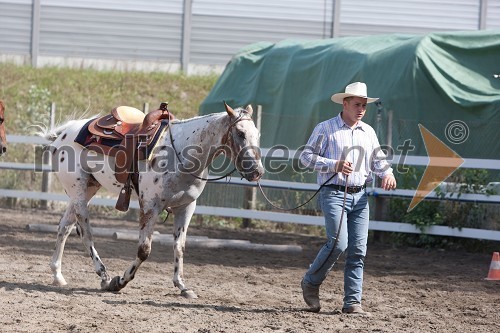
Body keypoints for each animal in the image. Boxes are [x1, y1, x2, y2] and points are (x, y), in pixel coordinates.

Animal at [42, 101, 266, 296]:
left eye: (258, 135)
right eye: (240, 133)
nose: (257, 171)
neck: (180, 153)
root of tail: (64, 132)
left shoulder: (186, 207)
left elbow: (179, 246)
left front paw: (182, 285)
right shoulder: (150, 207)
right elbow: (144, 250)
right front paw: (120, 281)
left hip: (87, 189)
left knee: (64, 227)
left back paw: (57, 275)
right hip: (78, 192)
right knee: (85, 232)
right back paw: (104, 276)